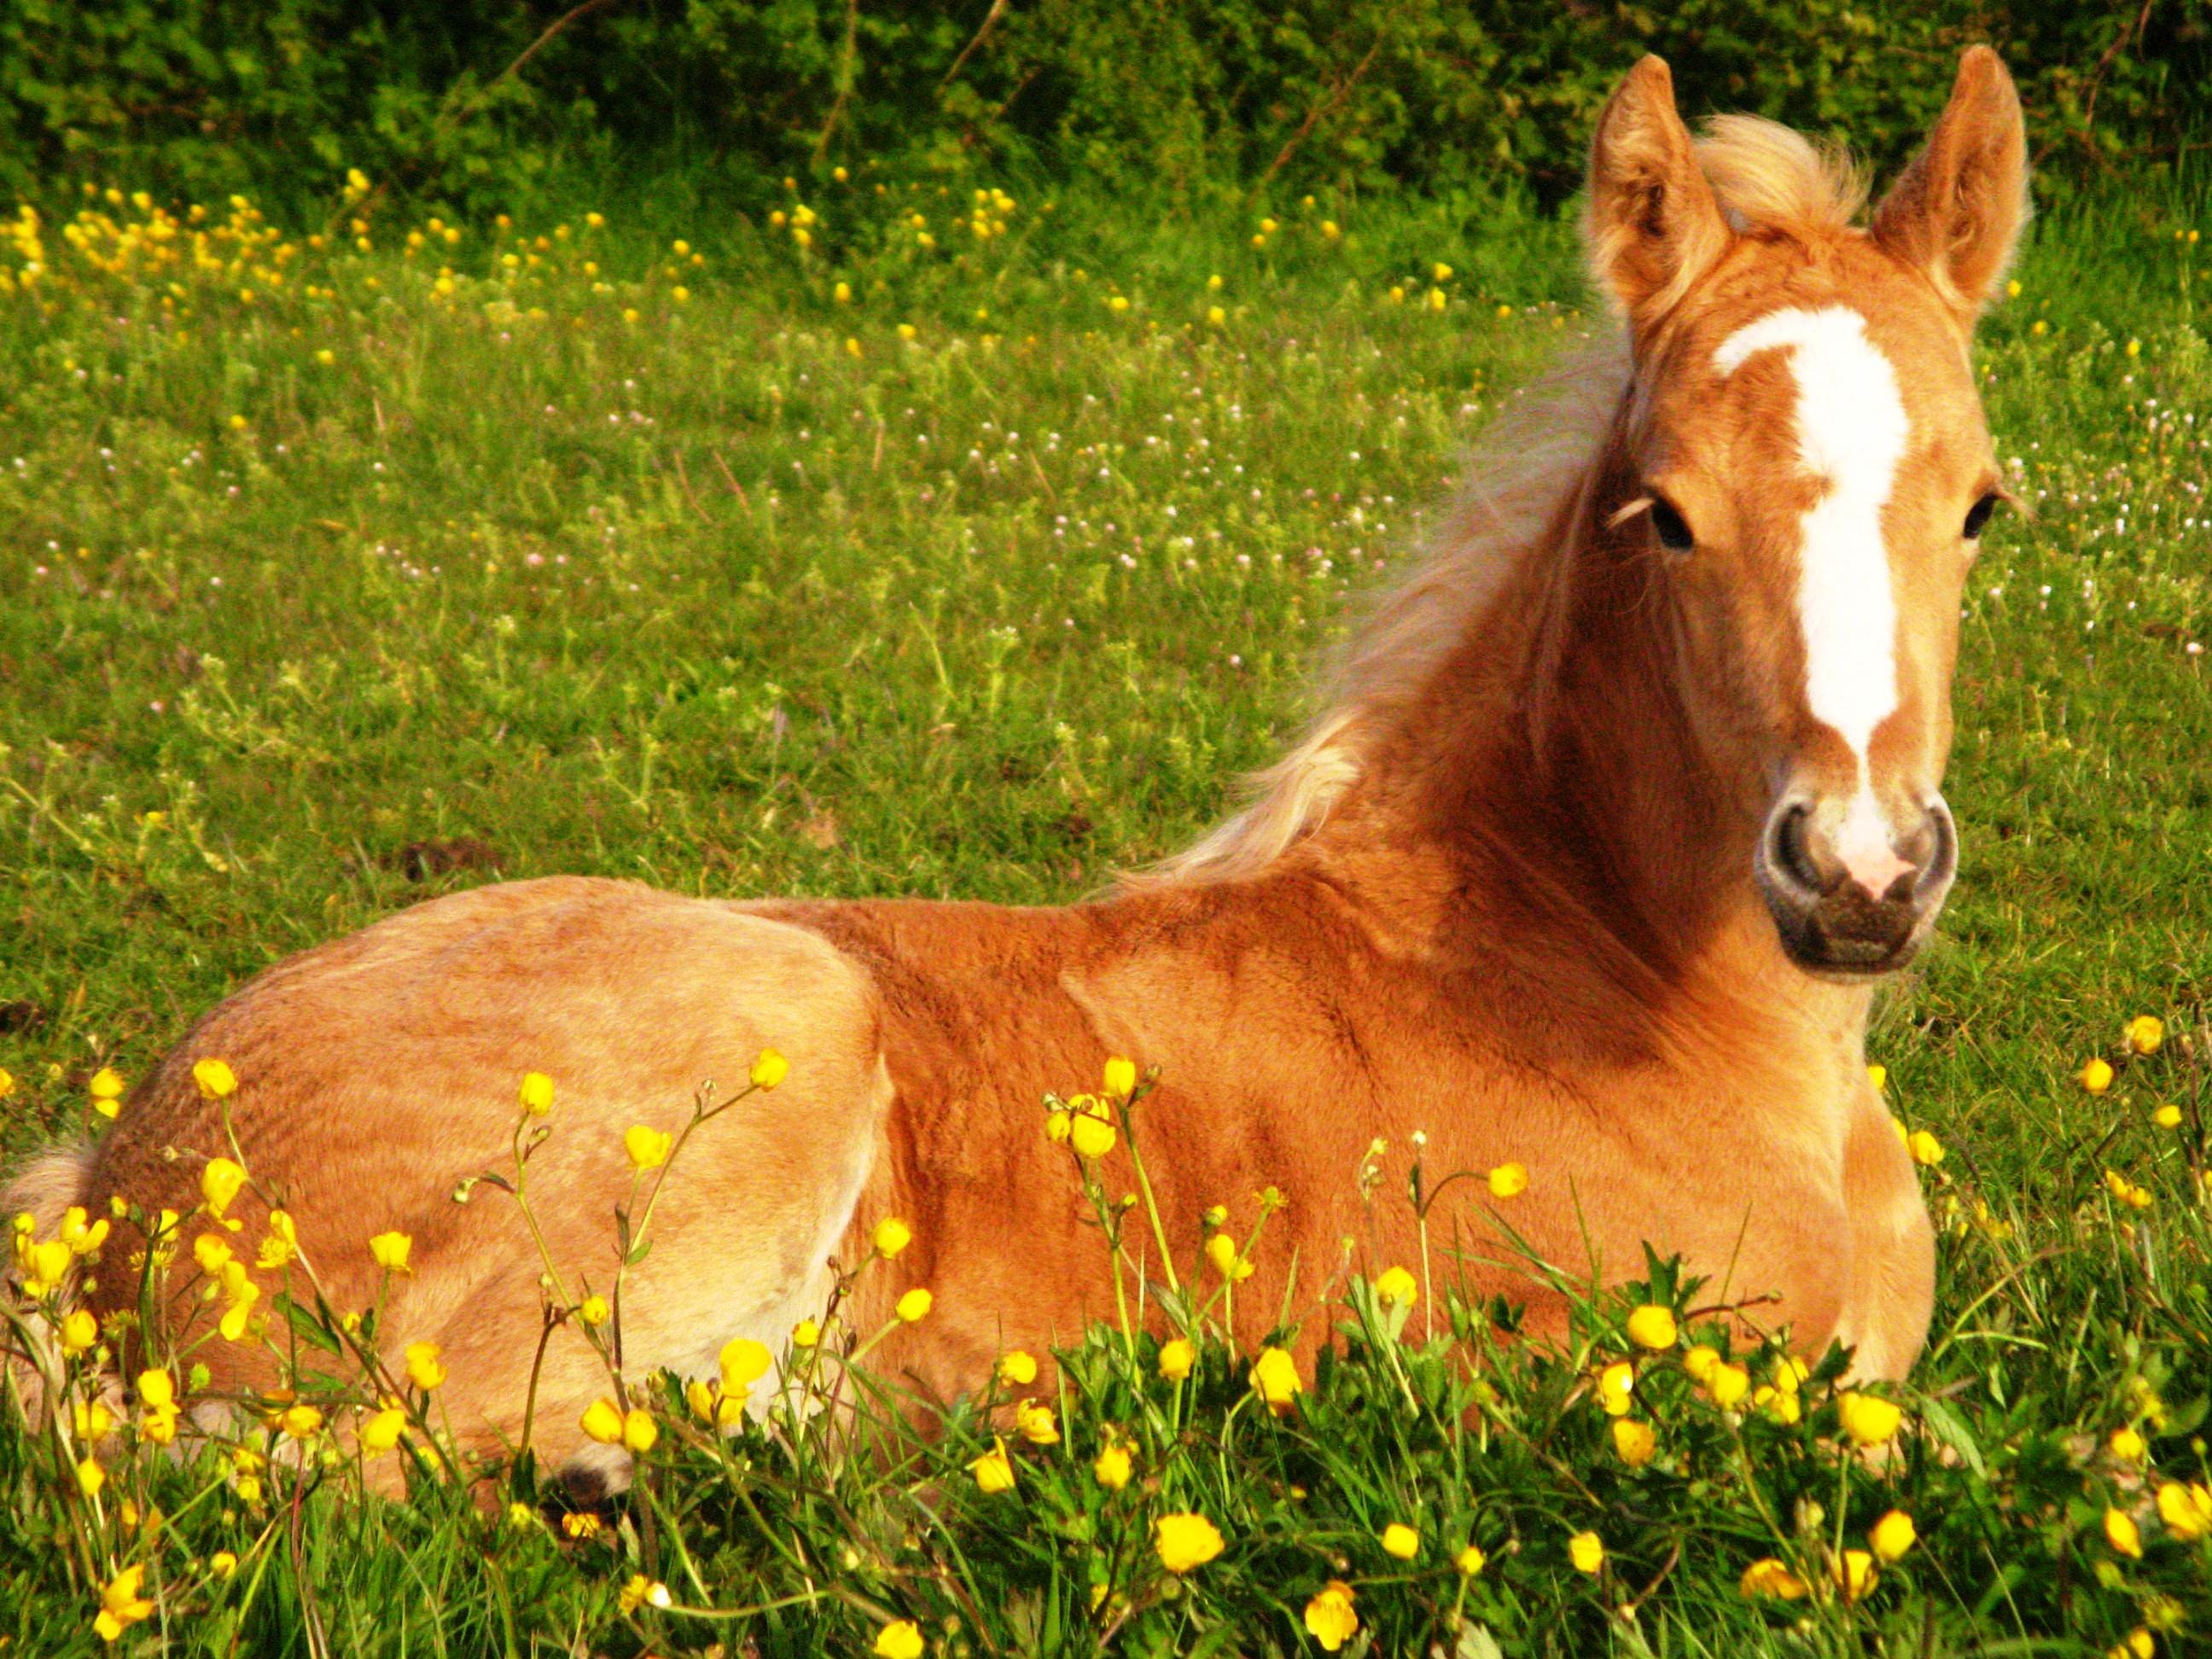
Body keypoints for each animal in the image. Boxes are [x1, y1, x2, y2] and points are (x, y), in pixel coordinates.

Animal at [6, 48, 2027, 1497]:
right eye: (1662, 514)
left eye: (1983, 503)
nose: (1858, 874)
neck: (1604, 980)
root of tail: (117, 1181)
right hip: (777, 1021)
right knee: (360, 1440)